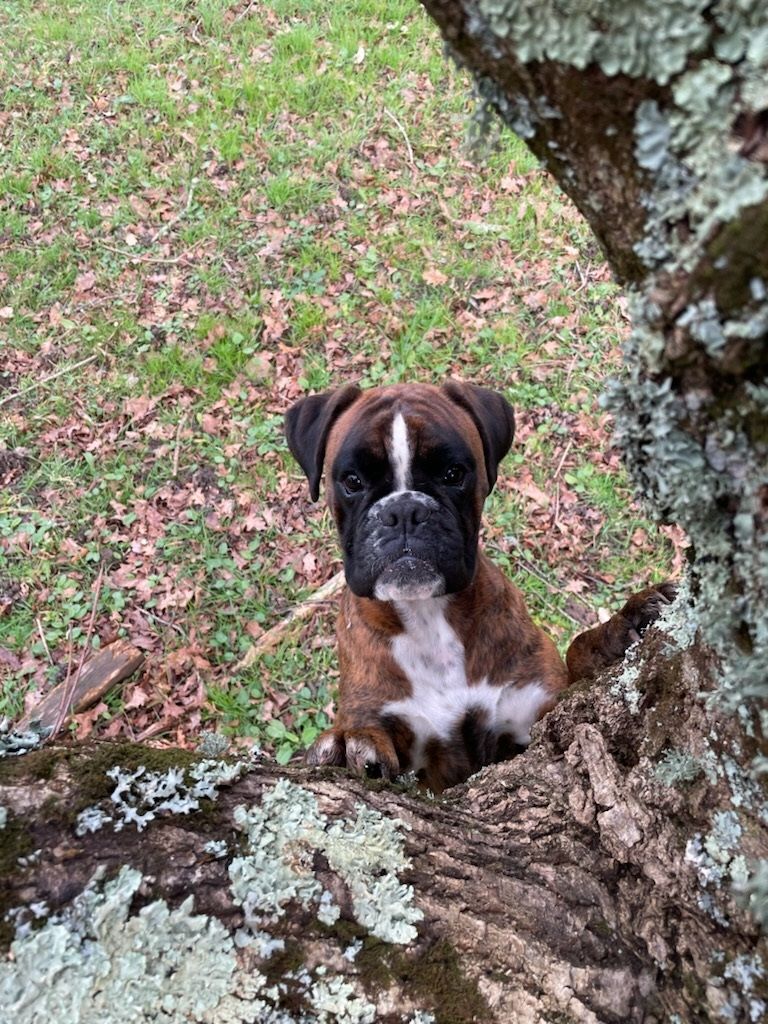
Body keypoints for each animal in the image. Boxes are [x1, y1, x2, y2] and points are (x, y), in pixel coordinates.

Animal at [284, 385, 671, 790]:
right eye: (353, 481)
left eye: (453, 473)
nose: (404, 511)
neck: (428, 616)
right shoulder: (418, 757)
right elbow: (366, 727)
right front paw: (348, 742)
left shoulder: (537, 712)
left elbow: (575, 655)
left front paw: (620, 631)